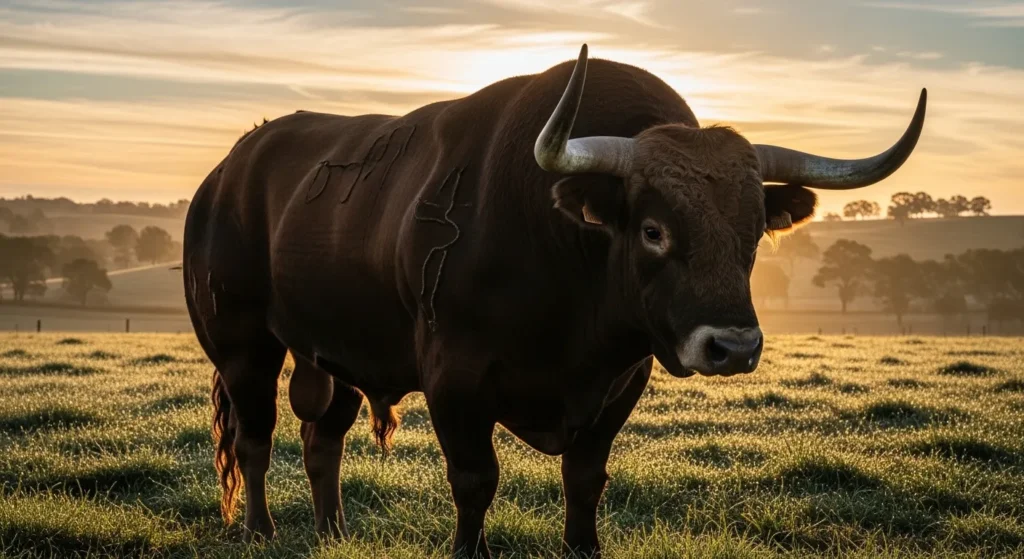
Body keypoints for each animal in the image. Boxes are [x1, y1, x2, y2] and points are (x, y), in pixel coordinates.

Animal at [183, 44, 926, 558]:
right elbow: (475, 479)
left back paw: (333, 531)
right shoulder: (456, 381)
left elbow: (585, 478)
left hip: (335, 351)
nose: (734, 346)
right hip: (244, 347)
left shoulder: (620, 384)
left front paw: (583, 547)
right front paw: (470, 550)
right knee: (254, 438)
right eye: (653, 229)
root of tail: (229, 168)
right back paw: (260, 530)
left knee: (321, 439)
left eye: (752, 232)